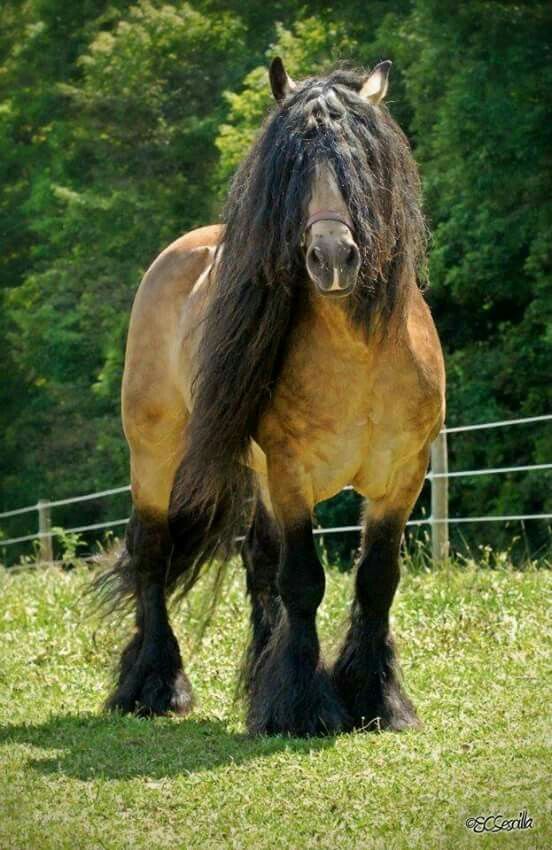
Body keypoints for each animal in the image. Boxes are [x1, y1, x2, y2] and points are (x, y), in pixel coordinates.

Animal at [97, 58, 446, 736]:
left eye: (360, 160)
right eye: (292, 168)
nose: (331, 256)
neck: (359, 357)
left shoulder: (404, 475)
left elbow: (376, 579)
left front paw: (376, 700)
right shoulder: (291, 473)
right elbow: (304, 580)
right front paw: (304, 707)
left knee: (258, 567)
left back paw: (259, 678)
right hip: (155, 453)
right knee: (153, 553)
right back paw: (153, 687)